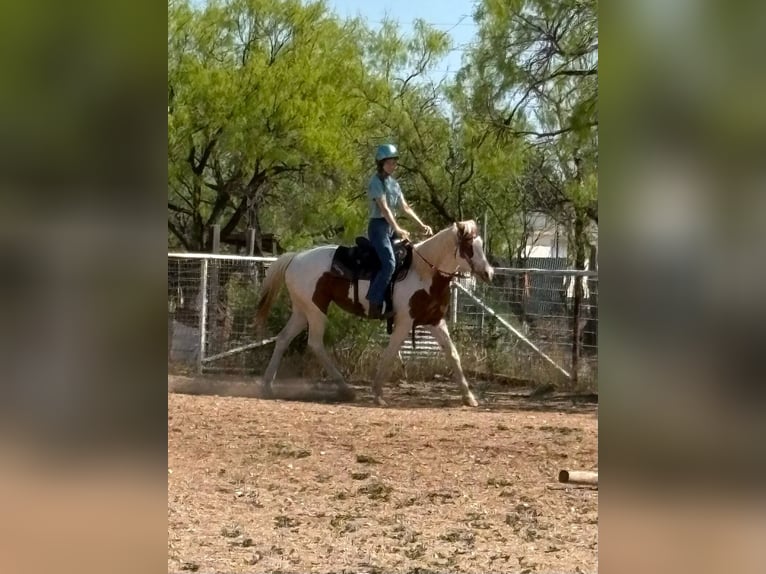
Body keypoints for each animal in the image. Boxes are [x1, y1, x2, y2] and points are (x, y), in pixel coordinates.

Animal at [253, 220, 494, 407]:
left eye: (481, 244)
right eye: (469, 246)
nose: (489, 273)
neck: (424, 272)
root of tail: (295, 258)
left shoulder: (435, 321)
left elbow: (453, 355)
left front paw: (469, 397)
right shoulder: (404, 322)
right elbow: (390, 354)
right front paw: (378, 394)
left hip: (302, 310)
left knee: (283, 338)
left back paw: (267, 386)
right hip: (316, 310)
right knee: (315, 343)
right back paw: (346, 389)